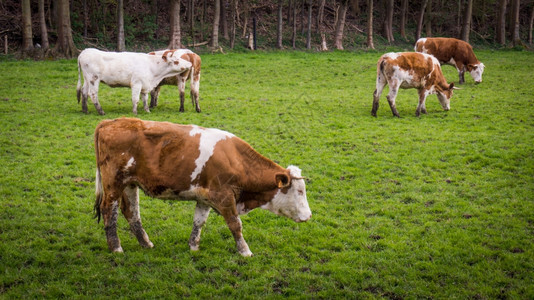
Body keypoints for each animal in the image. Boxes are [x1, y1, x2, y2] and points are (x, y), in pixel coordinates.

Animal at [95, 117, 314, 255]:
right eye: (299, 191)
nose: (309, 216)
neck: (236, 159)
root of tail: (110, 122)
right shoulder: (224, 197)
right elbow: (235, 224)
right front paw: (245, 251)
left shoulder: (205, 197)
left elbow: (199, 222)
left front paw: (194, 247)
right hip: (113, 183)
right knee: (109, 210)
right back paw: (116, 248)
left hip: (130, 183)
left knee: (131, 212)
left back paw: (146, 244)